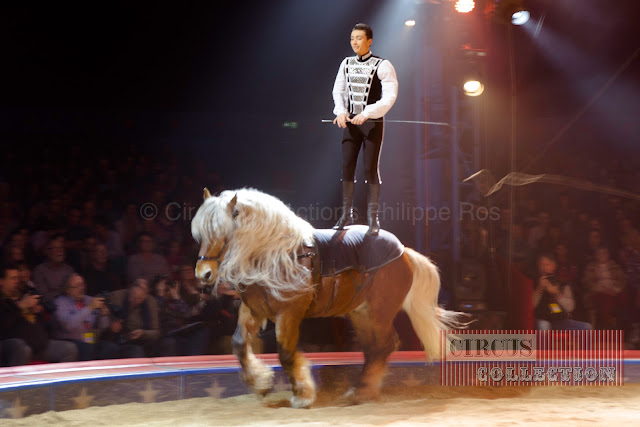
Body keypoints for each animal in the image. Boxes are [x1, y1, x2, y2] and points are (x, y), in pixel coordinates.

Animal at [192, 189, 462, 410]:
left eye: (222, 233)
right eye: (200, 235)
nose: (203, 274)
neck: (275, 255)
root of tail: (404, 251)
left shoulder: (289, 314)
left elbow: (286, 353)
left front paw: (302, 394)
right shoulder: (253, 310)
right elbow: (238, 344)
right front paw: (260, 383)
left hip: (378, 312)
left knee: (383, 345)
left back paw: (361, 391)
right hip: (361, 313)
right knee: (375, 348)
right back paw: (364, 390)